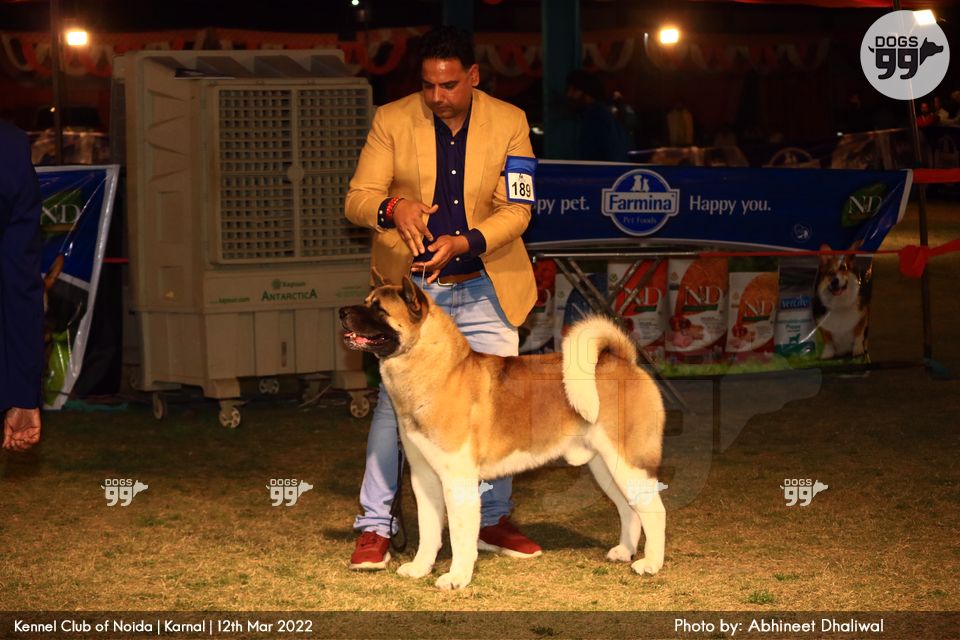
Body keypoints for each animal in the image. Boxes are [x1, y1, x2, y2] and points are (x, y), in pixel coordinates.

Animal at [339, 272, 666, 590]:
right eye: (366, 301)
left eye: (379, 309)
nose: (342, 312)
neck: (440, 372)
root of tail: (623, 359)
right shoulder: (424, 478)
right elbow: (429, 530)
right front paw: (421, 568)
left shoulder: (457, 480)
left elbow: (459, 535)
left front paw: (456, 578)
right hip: (606, 466)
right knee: (629, 509)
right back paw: (625, 551)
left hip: (629, 461)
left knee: (654, 511)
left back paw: (650, 563)